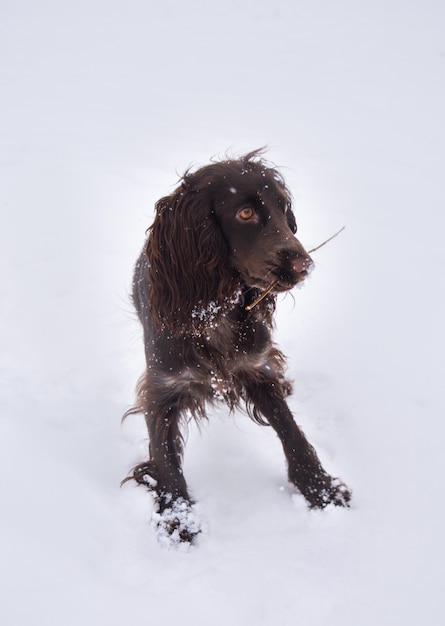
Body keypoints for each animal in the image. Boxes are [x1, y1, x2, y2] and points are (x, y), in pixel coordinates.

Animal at [125, 147, 350, 540]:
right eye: (245, 213)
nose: (305, 265)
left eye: (283, 208)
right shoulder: (162, 387)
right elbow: (164, 455)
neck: (215, 311)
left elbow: (292, 430)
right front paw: (178, 519)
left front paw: (320, 487)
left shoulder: (256, 368)